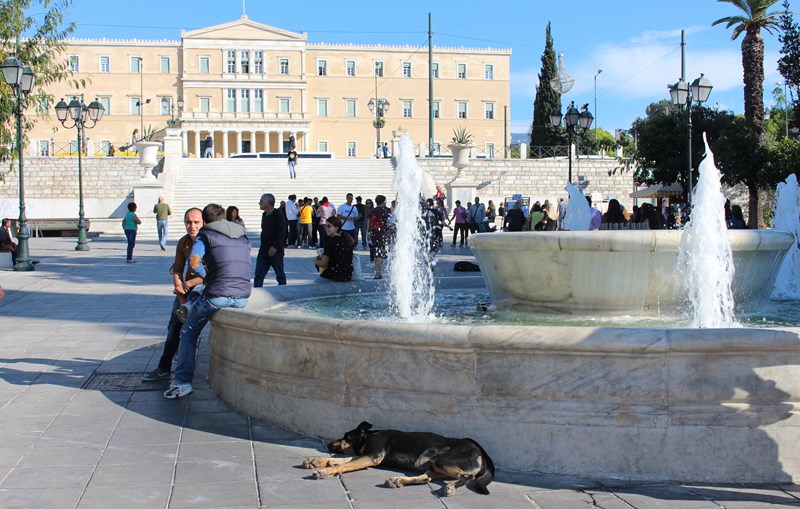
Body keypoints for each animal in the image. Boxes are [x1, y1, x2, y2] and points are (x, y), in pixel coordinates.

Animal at [302, 420, 494, 496]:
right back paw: (398, 480)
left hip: (443, 461)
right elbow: (341, 461)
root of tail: (480, 450)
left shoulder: (371, 457)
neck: (369, 436)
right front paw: (317, 460)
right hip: (433, 466)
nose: (328, 444)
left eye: (346, 437)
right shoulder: (366, 455)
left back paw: (451, 487)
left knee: (467, 476)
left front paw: (325, 470)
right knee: (425, 478)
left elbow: (341, 465)